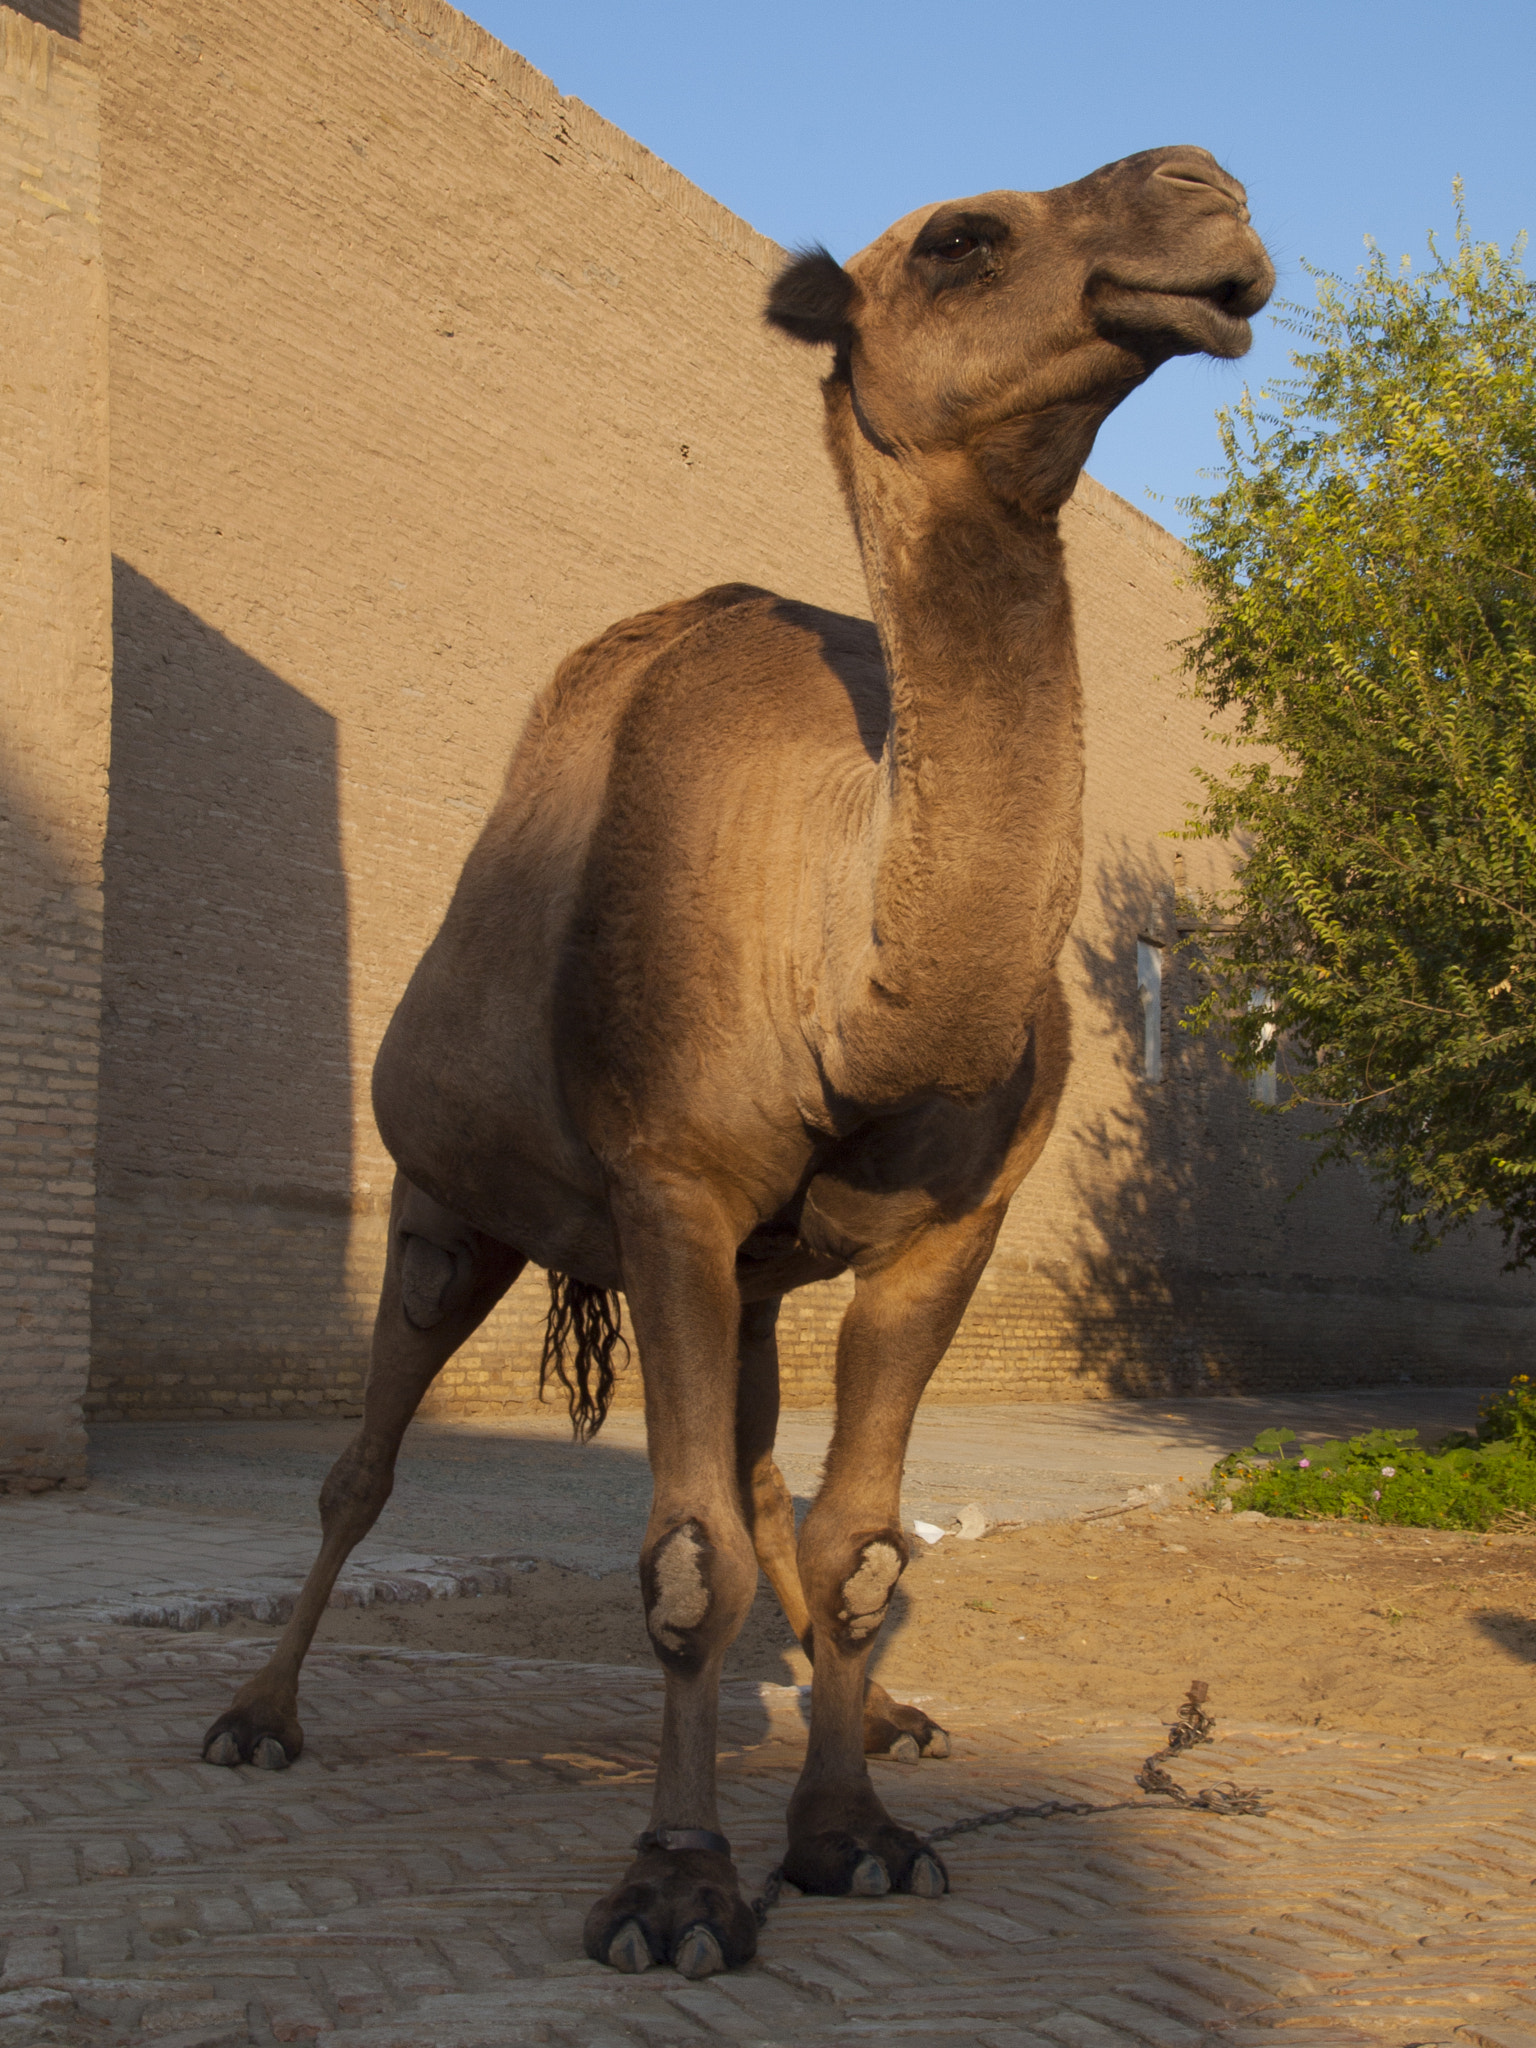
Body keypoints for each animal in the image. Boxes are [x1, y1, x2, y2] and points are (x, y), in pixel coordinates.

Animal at [198, 140, 1269, 1966]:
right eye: (964, 237)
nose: (1210, 199)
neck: (841, 971)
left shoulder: (945, 1231)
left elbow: (852, 1540)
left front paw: (849, 1830)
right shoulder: (673, 1187)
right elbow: (687, 1548)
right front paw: (681, 1883)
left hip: (752, 1272)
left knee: (774, 1476)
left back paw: (887, 1716)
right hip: (446, 1203)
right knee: (363, 1465)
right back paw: (256, 1715)